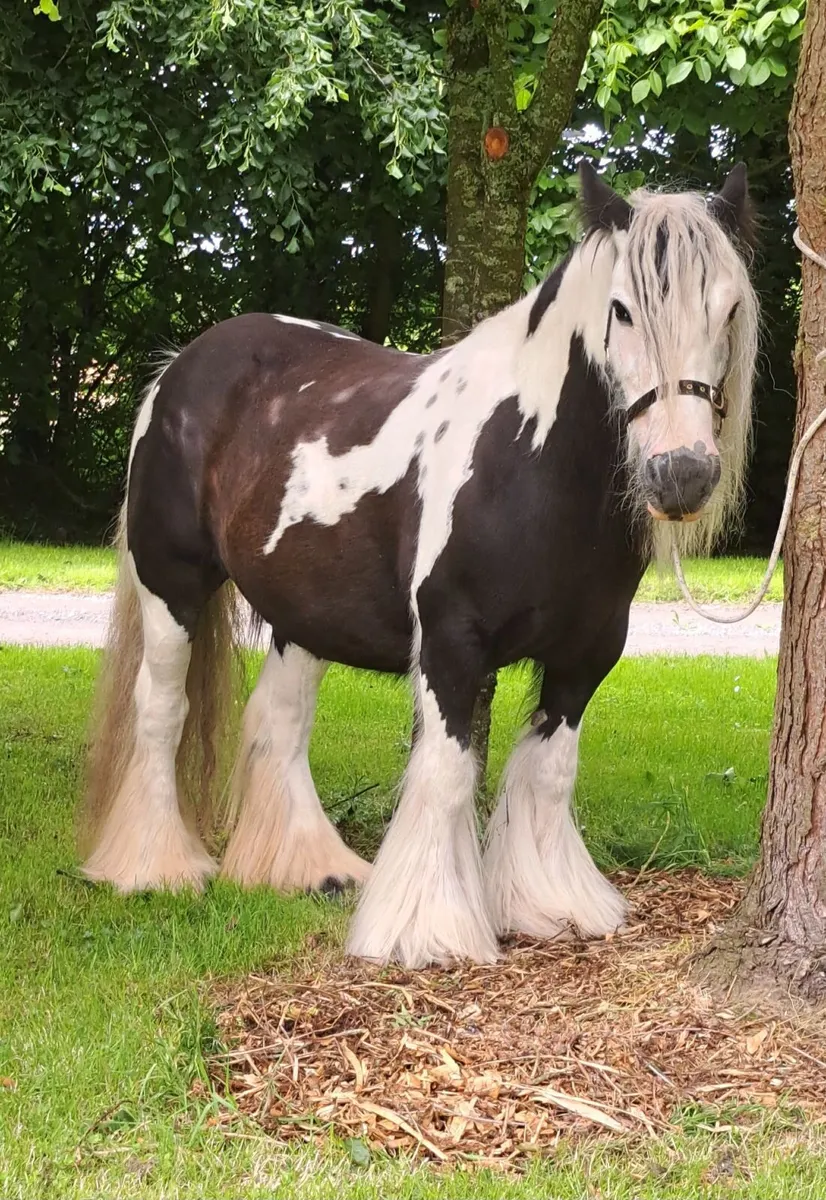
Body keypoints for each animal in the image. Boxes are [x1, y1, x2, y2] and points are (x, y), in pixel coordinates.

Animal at [80, 163, 758, 969]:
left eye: (729, 309)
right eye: (622, 310)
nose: (681, 474)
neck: (528, 461)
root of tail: (179, 367)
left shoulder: (586, 655)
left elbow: (550, 770)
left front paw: (552, 905)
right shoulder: (450, 643)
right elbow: (446, 773)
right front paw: (427, 930)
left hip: (302, 613)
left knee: (277, 721)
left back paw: (310, 869)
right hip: (171, 585)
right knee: (161, 711)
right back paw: (154, 869)